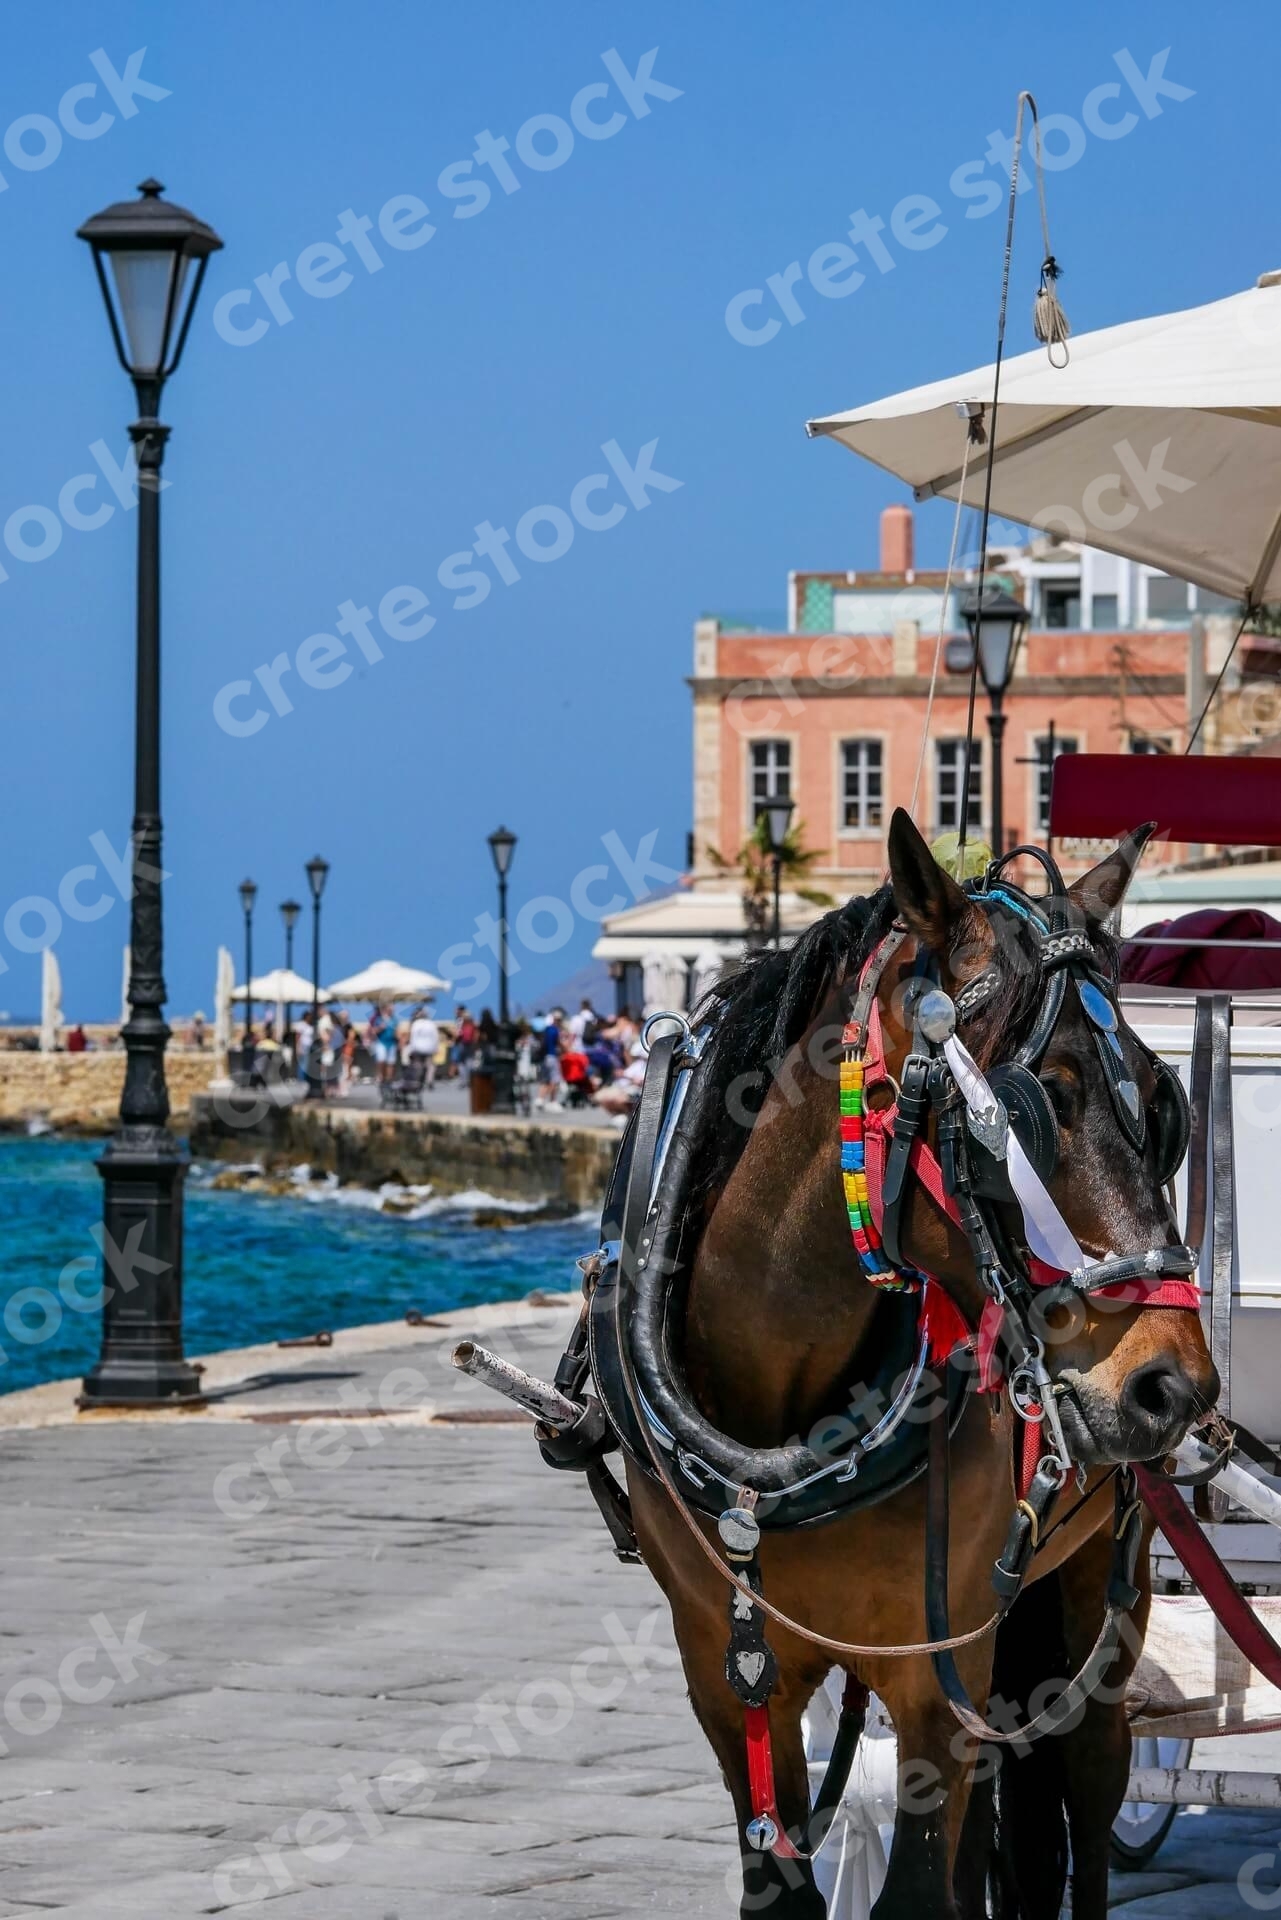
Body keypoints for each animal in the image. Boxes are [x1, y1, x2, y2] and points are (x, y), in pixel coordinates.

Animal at [626, 817, 1221, 1920]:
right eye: (1032, 1107)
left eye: (1163, 1107)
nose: (1172, 1386)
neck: (788, 1411)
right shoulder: (725, 1678)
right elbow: (780, 1885)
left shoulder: (931, 1676)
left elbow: (919, 1890)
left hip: (1097, 1580)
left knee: (1087, 1772)